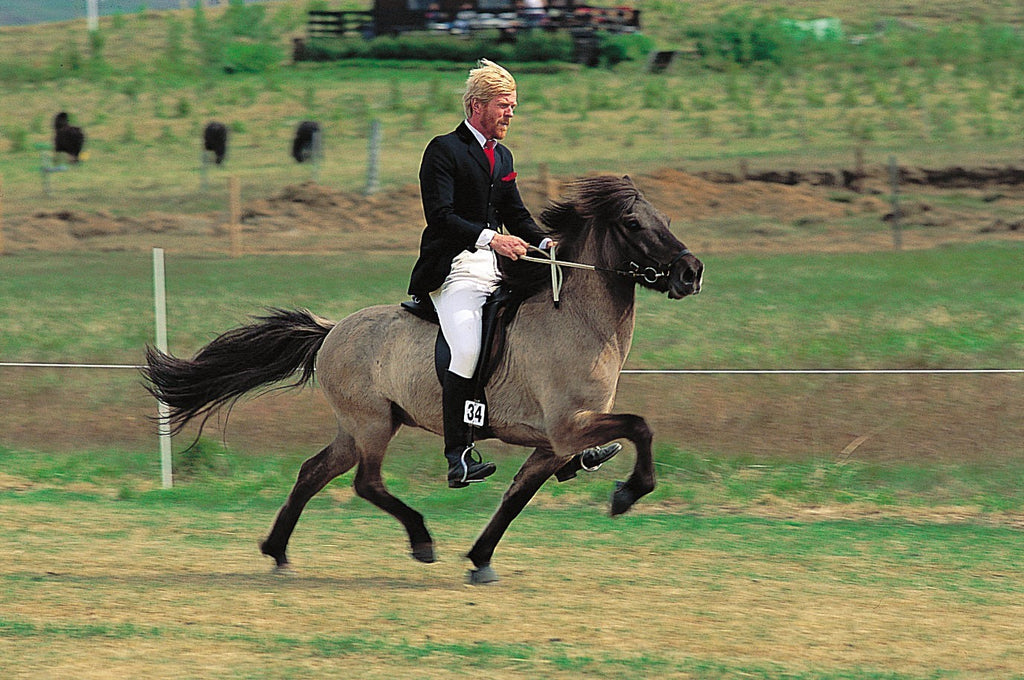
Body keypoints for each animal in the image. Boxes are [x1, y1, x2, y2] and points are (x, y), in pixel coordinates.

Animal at [142, 175, 704, 584]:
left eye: (666, 219)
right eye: (633, 223)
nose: (691, 273)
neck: (577, 319)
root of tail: (331, 330)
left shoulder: (552, 444)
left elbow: (516, 498)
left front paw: (480, 560)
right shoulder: (569, 428)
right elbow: (641, 426)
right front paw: (627, 494)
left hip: (359, 426)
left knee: (313, 471)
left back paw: (277, 553)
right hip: (372, 425)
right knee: (366, 482)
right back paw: (421, 539)